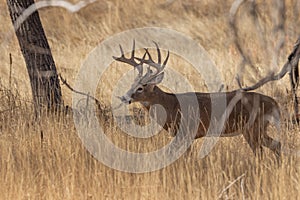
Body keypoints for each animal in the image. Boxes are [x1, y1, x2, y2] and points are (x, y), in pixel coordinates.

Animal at [112, 41, 282, 160]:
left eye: (141, 87)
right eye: (132, 84)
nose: (125, 97)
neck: (171, 105)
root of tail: (274, 103)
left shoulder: (186, 133)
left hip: (253, 127)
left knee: (264, 150)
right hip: (255, 129)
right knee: (275, 145)